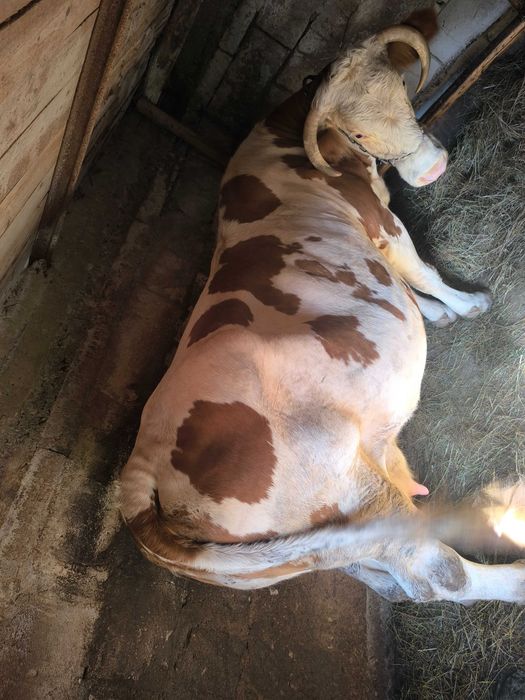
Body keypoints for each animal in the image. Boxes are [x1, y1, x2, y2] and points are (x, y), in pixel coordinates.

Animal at [119, 21, 525, 603]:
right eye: (356, 134)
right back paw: (515, 569)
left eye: (404, 93)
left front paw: (438, 314)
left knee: (398, 579)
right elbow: (420, 268)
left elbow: (405, 281)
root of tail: (142, 470)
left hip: (312, 545)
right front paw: (470, 305)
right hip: (349, 489)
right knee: (439, 574)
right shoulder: (379, 218)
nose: (434, 170)